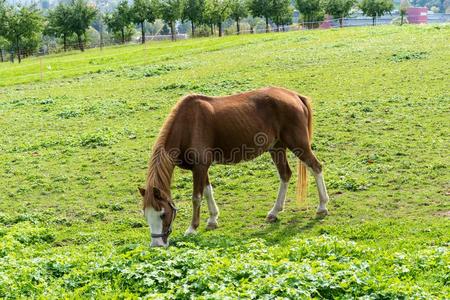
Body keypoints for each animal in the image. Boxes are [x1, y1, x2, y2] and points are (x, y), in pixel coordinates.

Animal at [139, 86, 328, 246]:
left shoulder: (200, 167)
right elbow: (208, 191)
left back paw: (322, 207)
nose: (156, 244)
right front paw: (213, 219)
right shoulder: (201, 168)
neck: (187, 125)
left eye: (163, 214)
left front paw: (192, 228)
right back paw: (274, 212)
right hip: (277, 147)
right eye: (146, 214)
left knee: (316, 168)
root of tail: (295, 96)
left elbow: (196, 197)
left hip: (298, 144)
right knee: (285, 175)